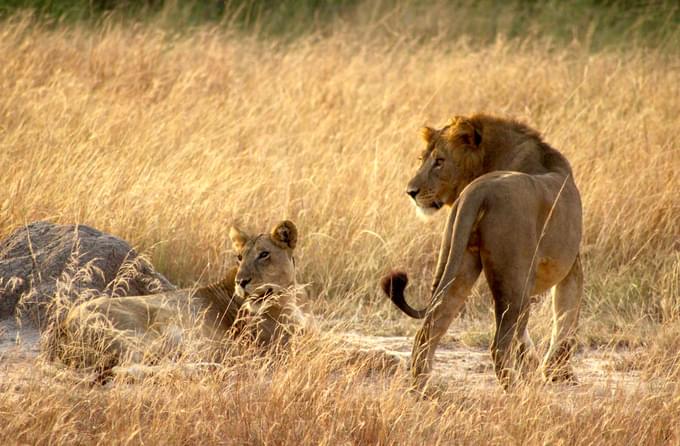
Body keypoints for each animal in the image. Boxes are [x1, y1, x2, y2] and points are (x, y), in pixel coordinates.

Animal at [382, 115, 584, 390]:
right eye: (422, 160)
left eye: (439, 161)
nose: (410, 192)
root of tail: (479, 190)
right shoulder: (570, 263)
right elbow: (565, 316)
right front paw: (556, 372)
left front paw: (539, 368)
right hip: (514, 281)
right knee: (499, 344)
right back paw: (515, 391)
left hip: (461, 264)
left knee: (429, 329)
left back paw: (422, 388)